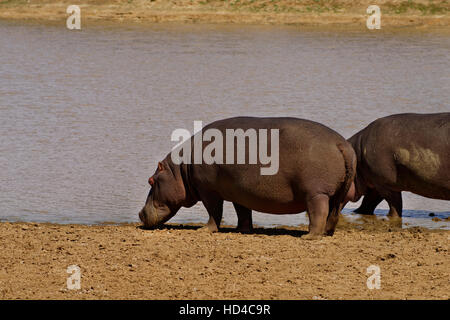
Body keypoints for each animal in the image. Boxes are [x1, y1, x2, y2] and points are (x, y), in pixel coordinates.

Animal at [137, 117, 356, 238]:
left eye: (150, 180)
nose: (139, 213)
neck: (180, 169)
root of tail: (341, 144)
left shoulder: (208, 190)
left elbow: (214, 211)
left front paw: (205, 230)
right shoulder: (239, 192)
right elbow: (243, 212)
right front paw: (243, 230)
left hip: (316, 193)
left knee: (318, 212)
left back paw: (310, 237)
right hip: (338, 194)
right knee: (333, 213)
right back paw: (327, 233)